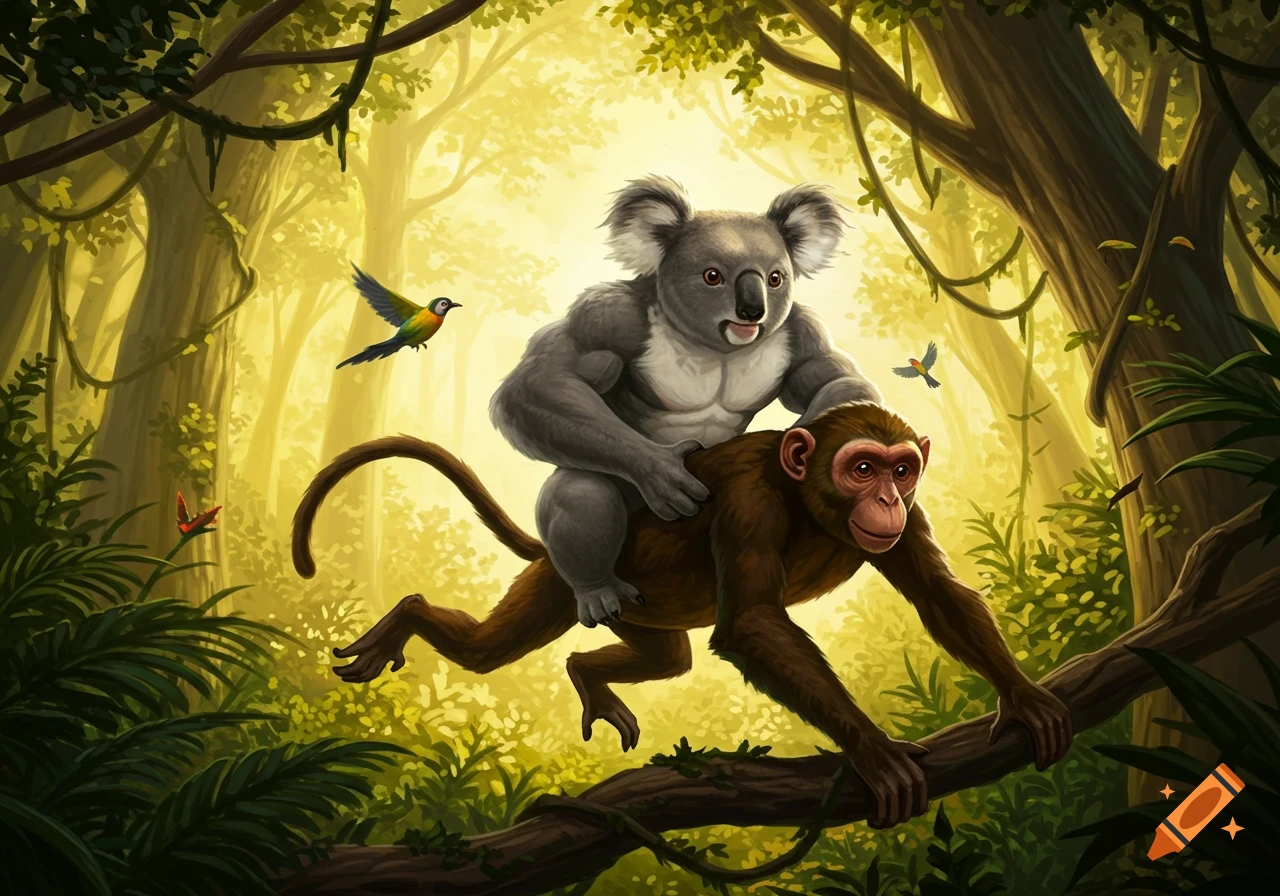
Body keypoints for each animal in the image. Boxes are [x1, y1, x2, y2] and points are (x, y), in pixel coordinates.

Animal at [292, 401, 1073, 828]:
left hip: (626, 607)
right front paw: (872, 749)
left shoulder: (911, 520)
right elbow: (752, 624)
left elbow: (939, 595)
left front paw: (1022, 693)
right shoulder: (749, 504)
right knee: (488, 650)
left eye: (901, 469)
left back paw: (586, 673)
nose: (885, 498)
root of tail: (562, 548)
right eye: (861, 468)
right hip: (561, 584)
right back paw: (407, 615)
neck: (807, 501)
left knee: (667, 658)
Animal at [488, 176, 882, 629]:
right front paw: (663, 470)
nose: (753, 309)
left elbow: (843, 381)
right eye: (712, 276)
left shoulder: (805, 333)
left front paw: (791, 452)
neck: (716, 348)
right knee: (580, 496)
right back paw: (599, 595)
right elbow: (538, 383)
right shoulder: (606, 316)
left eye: (776, 278)